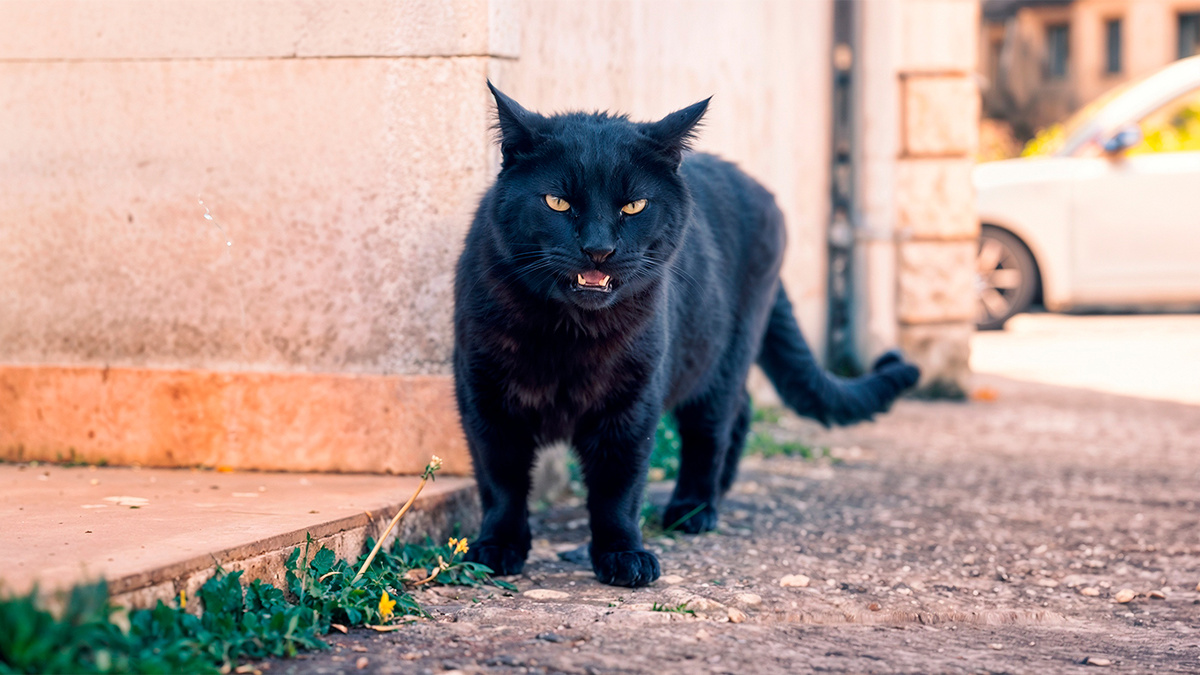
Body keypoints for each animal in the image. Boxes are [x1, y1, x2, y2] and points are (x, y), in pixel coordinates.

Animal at [451, 82, 916, 583]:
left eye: (634, 205)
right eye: (557, 202)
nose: (599, 249)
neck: (568, 335)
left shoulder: (633, 402)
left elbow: (618, 485)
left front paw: (623, 553)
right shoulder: (484, 396)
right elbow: (501, 479)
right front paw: (497, 547)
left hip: (726, 351)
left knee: (714, 424)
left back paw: (694, 508)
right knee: (739, 412)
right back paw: (719, 491)